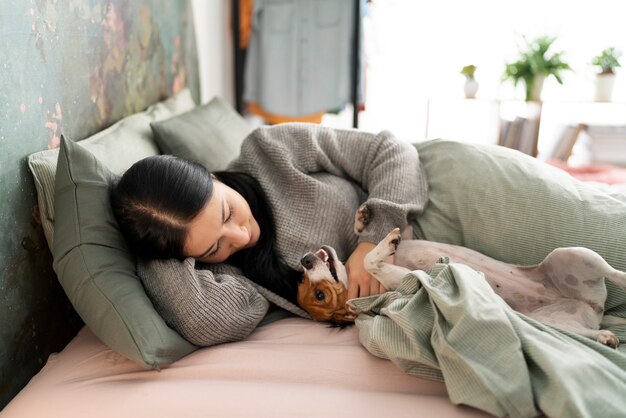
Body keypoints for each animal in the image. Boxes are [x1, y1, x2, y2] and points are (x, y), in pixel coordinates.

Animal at [298, 204, 624, 348]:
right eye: (319, 295)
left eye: (306, 281)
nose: (304, 259)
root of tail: (594, 308)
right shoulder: (402, 278)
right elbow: (369, 259)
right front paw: (385, 243)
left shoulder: (410, 235)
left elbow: (366, 241)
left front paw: (364, 217)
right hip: (554, 315)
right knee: (585, 329)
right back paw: (605, 337)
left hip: (572, 255)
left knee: (614, 273)